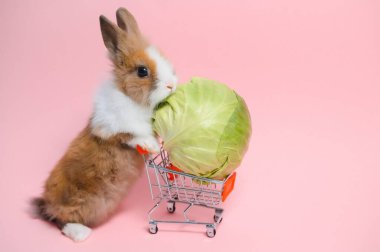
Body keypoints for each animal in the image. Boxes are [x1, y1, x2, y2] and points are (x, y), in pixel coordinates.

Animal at [31, 6, 177, 241]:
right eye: (142, 71)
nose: (172, 85)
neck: (133, 99)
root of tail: (45, 204)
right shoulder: (110, 128)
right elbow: (132, 135)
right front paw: (152, 146)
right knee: (58, 220)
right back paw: (80, 233)